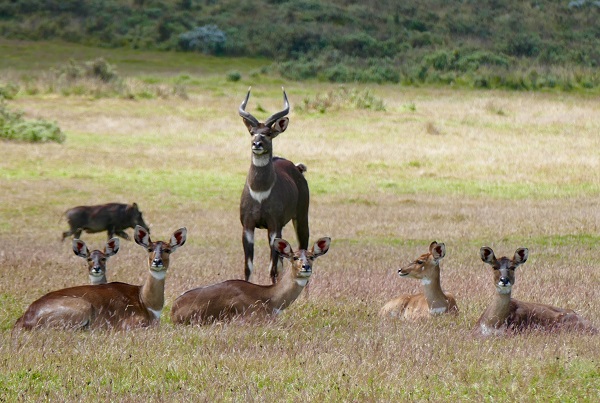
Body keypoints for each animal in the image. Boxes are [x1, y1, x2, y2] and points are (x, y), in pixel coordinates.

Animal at [14, 227, 188, 332]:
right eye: (150, 249)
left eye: (167, 250)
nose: (157, 261)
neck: (148, 304)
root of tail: (23, 320)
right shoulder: (130, 322)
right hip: (80, 307)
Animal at [238, 88, 310, 284]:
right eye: (252, 132)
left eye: (268, 133)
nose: (257, 144)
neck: (260, 192)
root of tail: (298, 168)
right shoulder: (247, 226)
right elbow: (248, 267)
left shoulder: (273, 226)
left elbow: (272, 268)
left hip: (301, 217)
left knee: (304, 250)